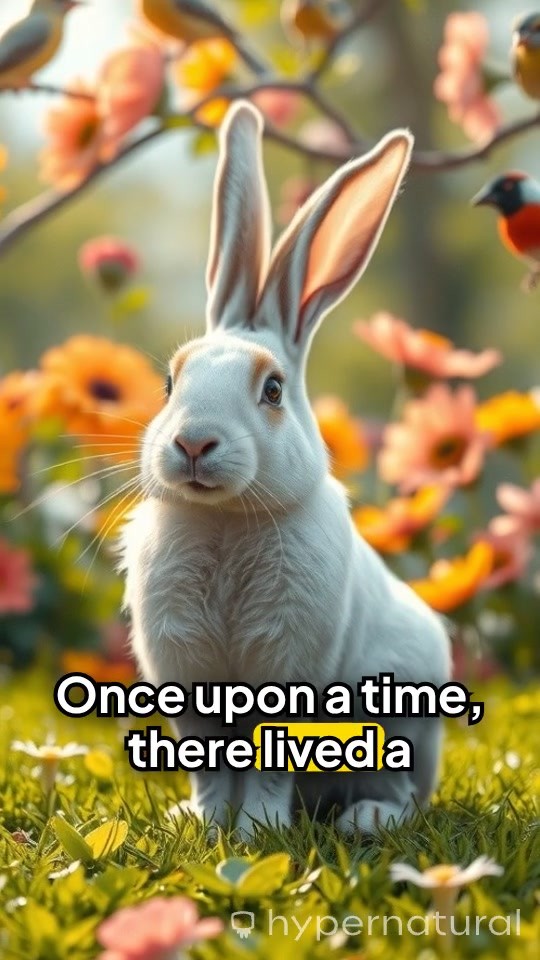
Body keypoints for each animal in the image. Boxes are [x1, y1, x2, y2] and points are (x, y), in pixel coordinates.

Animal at [120, 100, 451, 838]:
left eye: (271, 390)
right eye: (169, 383)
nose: (193, 444)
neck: (225, 519)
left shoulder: (288, 668)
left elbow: (268, 765)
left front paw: (256, 832)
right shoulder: (189, 680)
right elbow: (211, 765)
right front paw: (208, 824)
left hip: (401, 720)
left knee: (402, 794)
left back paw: (363, 820)